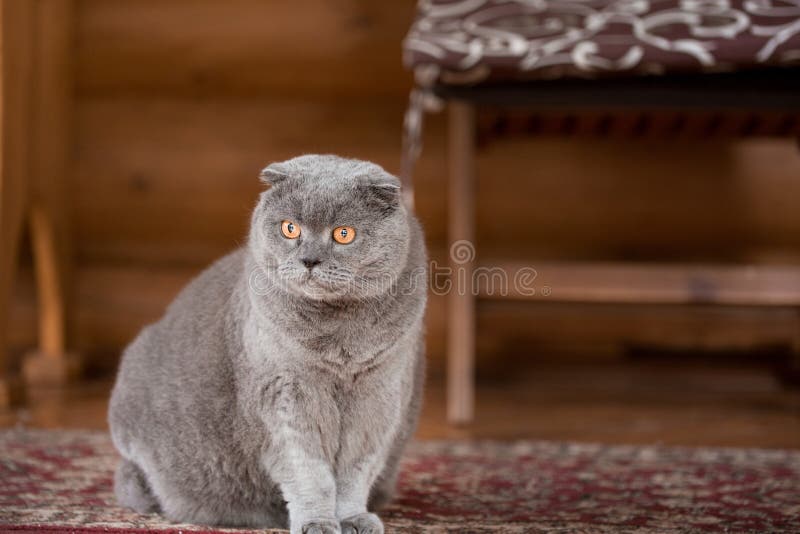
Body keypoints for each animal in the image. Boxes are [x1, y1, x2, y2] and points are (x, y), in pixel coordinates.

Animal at [111, 155, 432, 534]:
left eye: (344, 234)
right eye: (290, 229)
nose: (309, 260)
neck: (338, 342)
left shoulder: (379, 397)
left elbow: (355, 472)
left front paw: (353, 519)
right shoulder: (287, 394)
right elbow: (309, 473)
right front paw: (318, 523)